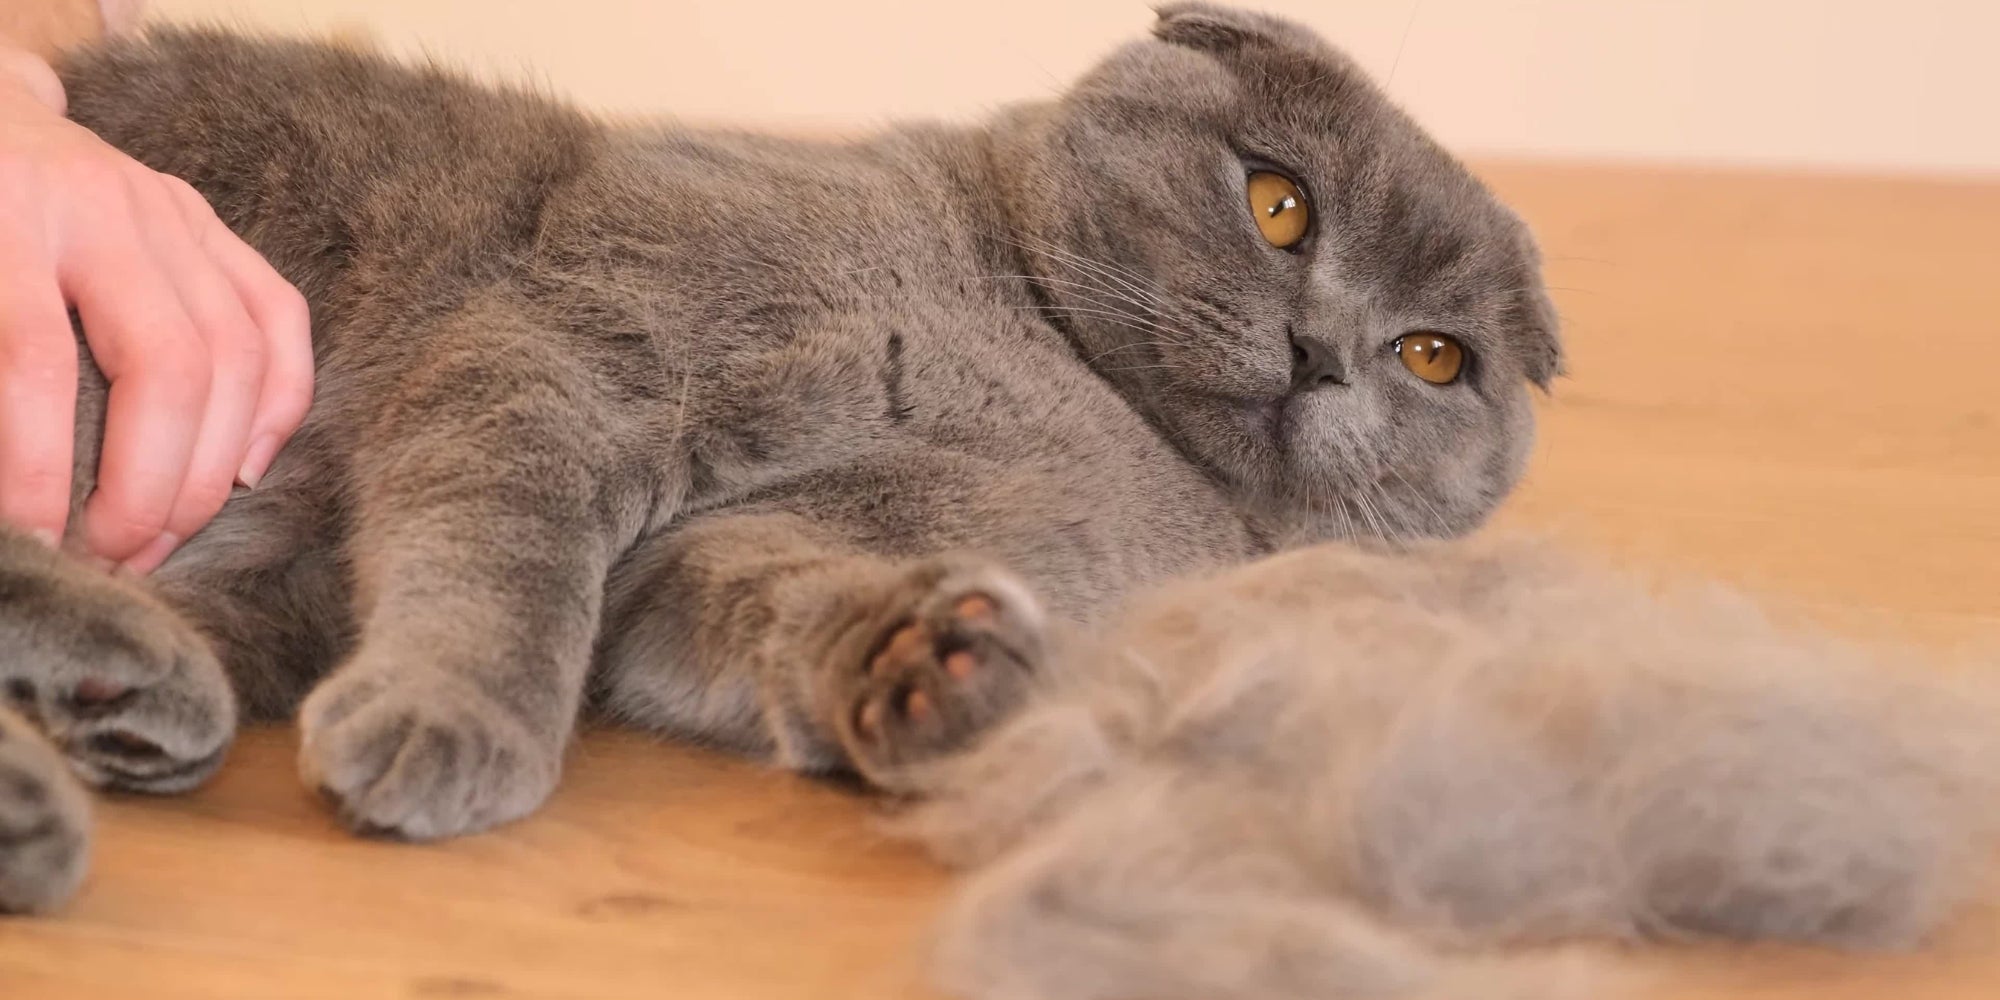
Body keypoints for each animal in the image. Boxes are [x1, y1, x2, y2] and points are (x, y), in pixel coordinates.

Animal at [0, 5, 1560, 916]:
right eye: (1278, 203)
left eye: (1434, 358)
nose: (1322, 350)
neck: (1061, 378)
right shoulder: (589, 343)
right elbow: (511, 552)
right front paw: (451, 717)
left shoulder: (714, 553)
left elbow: (745, 597)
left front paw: (929, 667)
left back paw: (107, 709)